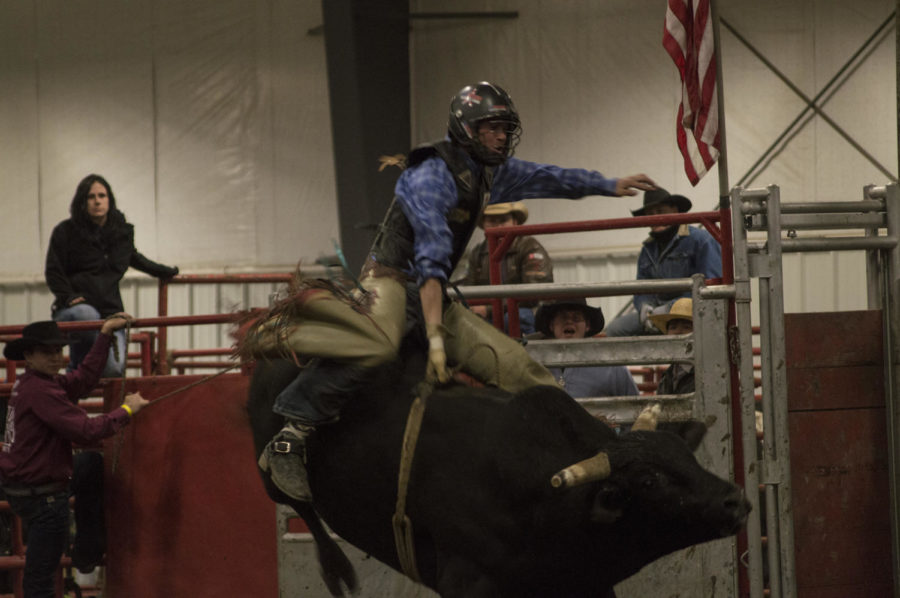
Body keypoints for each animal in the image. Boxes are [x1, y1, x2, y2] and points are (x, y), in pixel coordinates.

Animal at [244, 344, 744, 596]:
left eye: (688, 459)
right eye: (648, 480)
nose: (734, 500)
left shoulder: (585, 586)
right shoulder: (470, 586)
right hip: (271, 480)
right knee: (299, 506)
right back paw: (336, 569)